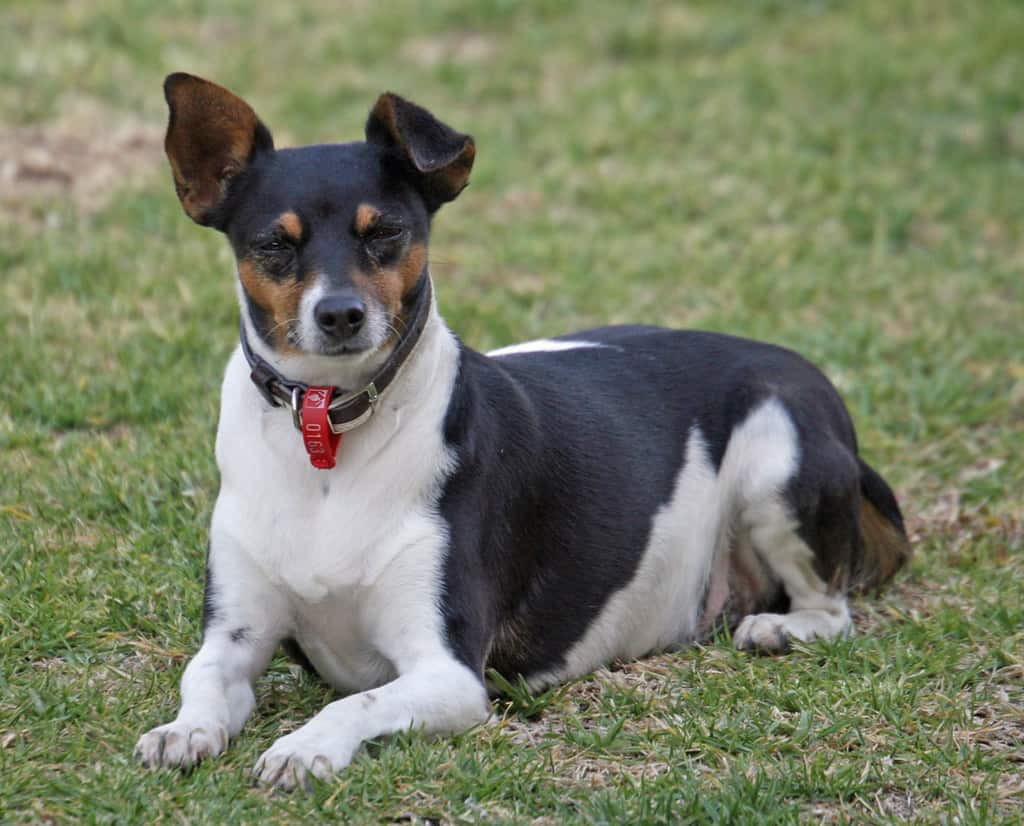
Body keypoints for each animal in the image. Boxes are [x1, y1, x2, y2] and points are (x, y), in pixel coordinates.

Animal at [132, 74, 909, 790]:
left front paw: (302, 746)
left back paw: (783, 627)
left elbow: (354, 704)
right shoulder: (235, 636)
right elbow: (200, 679)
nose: (341, 314)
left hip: (778, 455)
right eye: (274, 244)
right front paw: (183, 730)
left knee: (832, 608)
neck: (328, 435)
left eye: (385, 234)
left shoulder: (448, 671)